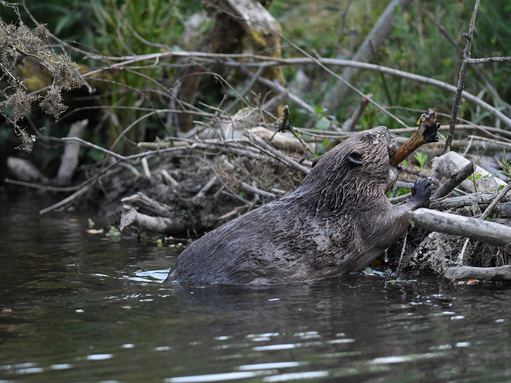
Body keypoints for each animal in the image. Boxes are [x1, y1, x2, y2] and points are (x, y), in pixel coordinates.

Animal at [167, 126, 432, 284]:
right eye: (370, 137)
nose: (385, 129)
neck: (336, 191)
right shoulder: (364, 207)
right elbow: (388, 224)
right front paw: (422, 187)